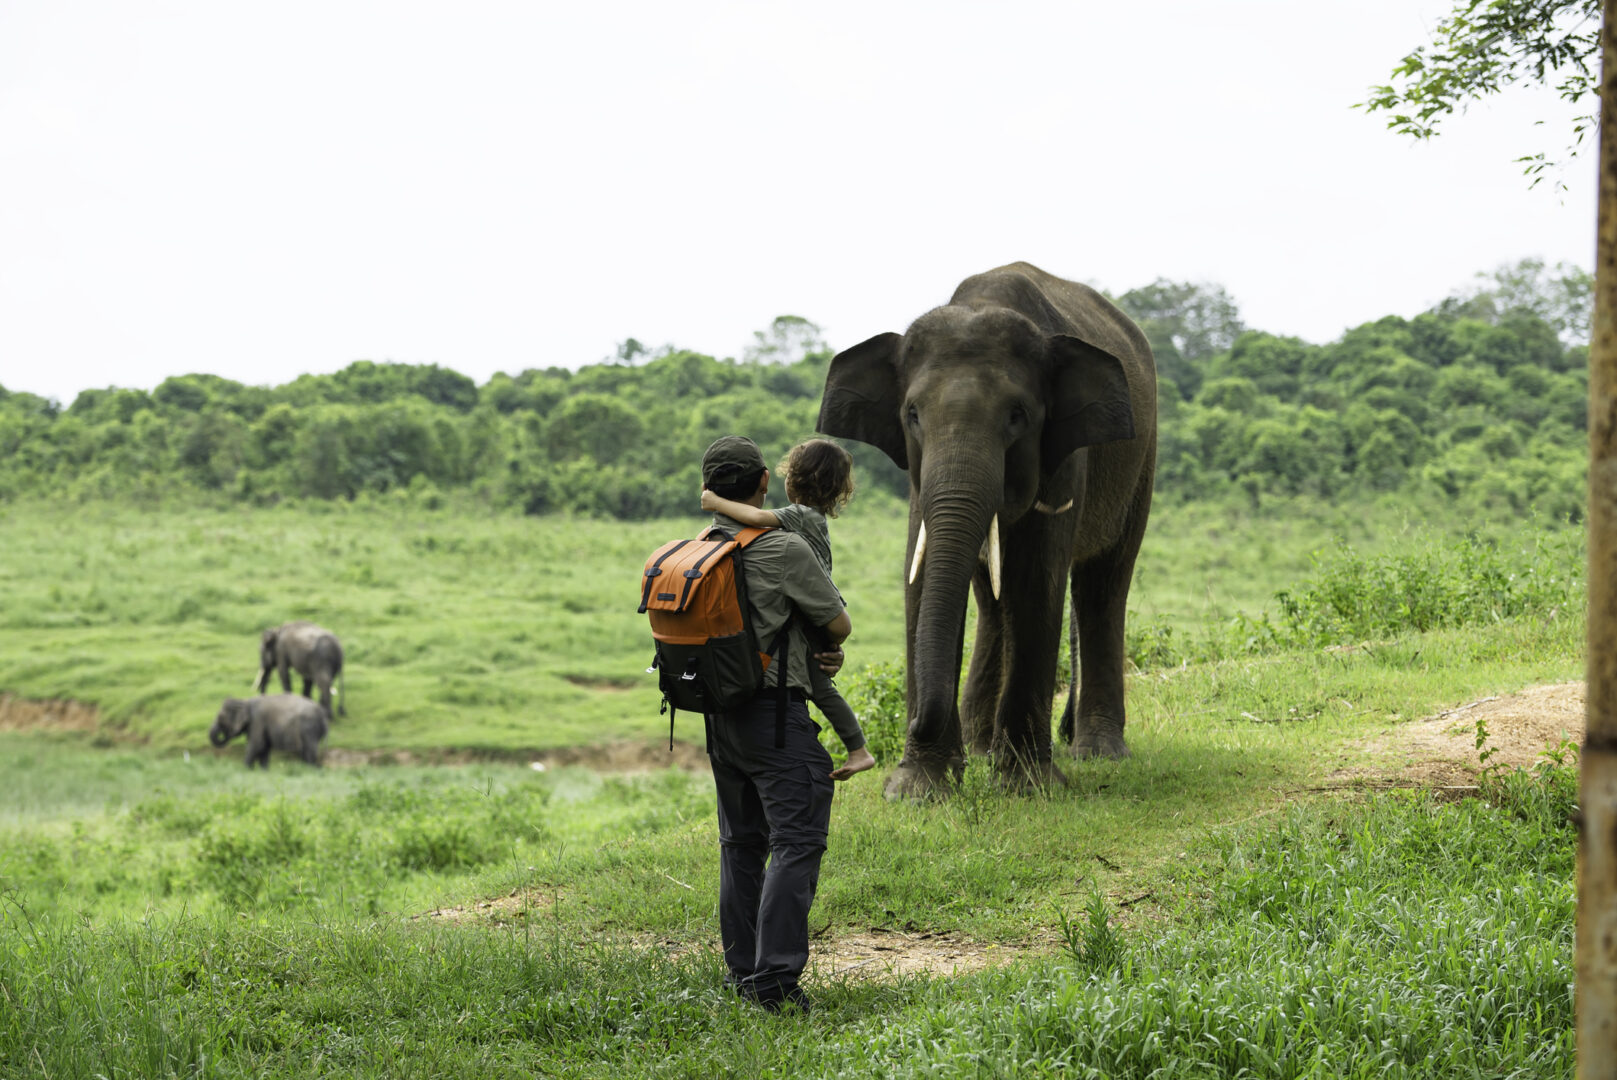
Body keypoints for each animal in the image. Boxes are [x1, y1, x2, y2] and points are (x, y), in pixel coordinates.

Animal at [817, 261, 1156, 799]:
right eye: (912, 414)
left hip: (1142, 461)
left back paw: (1098, 754)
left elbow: (1037, 581)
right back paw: (981, 749)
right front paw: (918, 792)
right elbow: (920, 577)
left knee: (1103, 583)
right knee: (993, 600)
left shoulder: (1065, 455)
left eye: (1018, 416)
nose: (913, 724)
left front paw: (1026, 788)